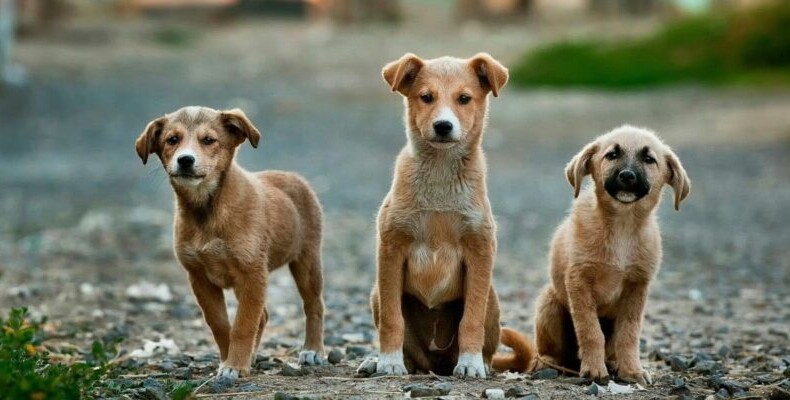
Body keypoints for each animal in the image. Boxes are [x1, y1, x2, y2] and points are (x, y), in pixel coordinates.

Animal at [136, 107, 324, 382]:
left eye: (209, 140)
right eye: (172, 140)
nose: (185, 160)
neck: (207, 210)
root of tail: (293, 177)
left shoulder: (252, 273)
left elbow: (243, 325)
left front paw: (235, 365)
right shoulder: (200, 278)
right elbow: (221, 325)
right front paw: (230, 360)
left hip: (307, 261)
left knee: (314, 305)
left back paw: (313, 350)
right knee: (263, 315)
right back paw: (253, 356)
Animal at [368, 53, 510, 378]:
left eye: (464, 99)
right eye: (426, 97)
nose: (443, 125)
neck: (441, 176)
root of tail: (436, 364)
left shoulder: (480, 250)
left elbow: (471, 320)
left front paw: (470, 363)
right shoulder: (391, 249)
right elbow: (392, 320)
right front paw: (389, 361)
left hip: (492, 298)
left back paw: (479, 362)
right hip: (376, 294)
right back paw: (379, 362)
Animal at [498, 125, 688, 384]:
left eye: (649, 159)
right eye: (612, 155)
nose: (627, 176)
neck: (622, 227)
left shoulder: (637, 287)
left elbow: (629, 334)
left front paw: (632, 371)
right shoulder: (579, 281)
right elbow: (590, 331)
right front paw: (594, 370)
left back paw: (613, 363)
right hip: (550, 303)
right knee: (547, 351)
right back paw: (548, 364)